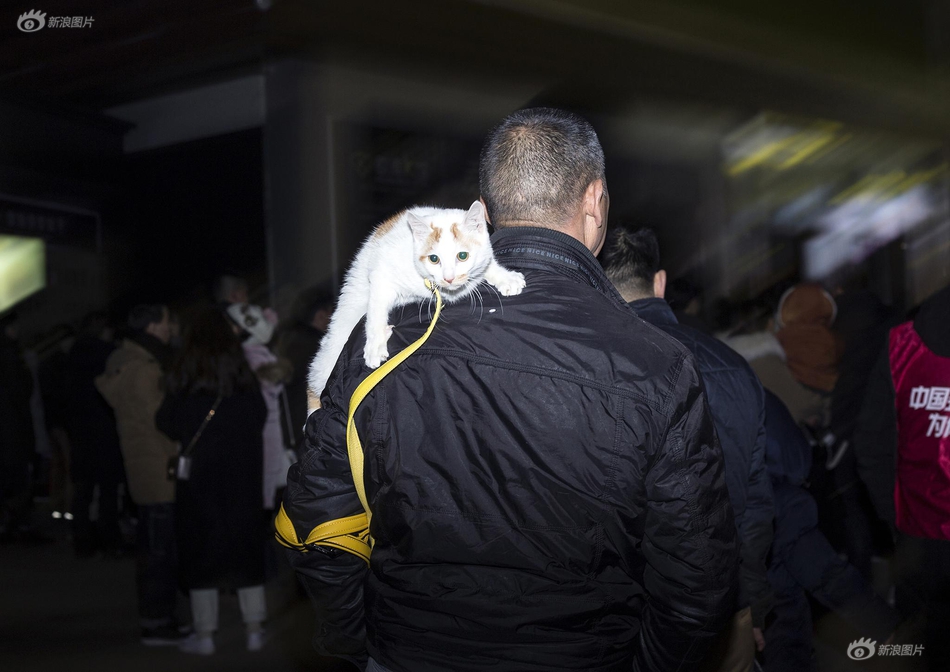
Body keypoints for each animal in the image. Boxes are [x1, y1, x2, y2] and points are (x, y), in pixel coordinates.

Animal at [306, 200, 524, 410]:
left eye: (463, 256)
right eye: (434, 259)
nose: (449, 278)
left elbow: (486, 264)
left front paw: (505, 277)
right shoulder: (381, 272)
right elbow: (376, 307)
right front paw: (375, 343)